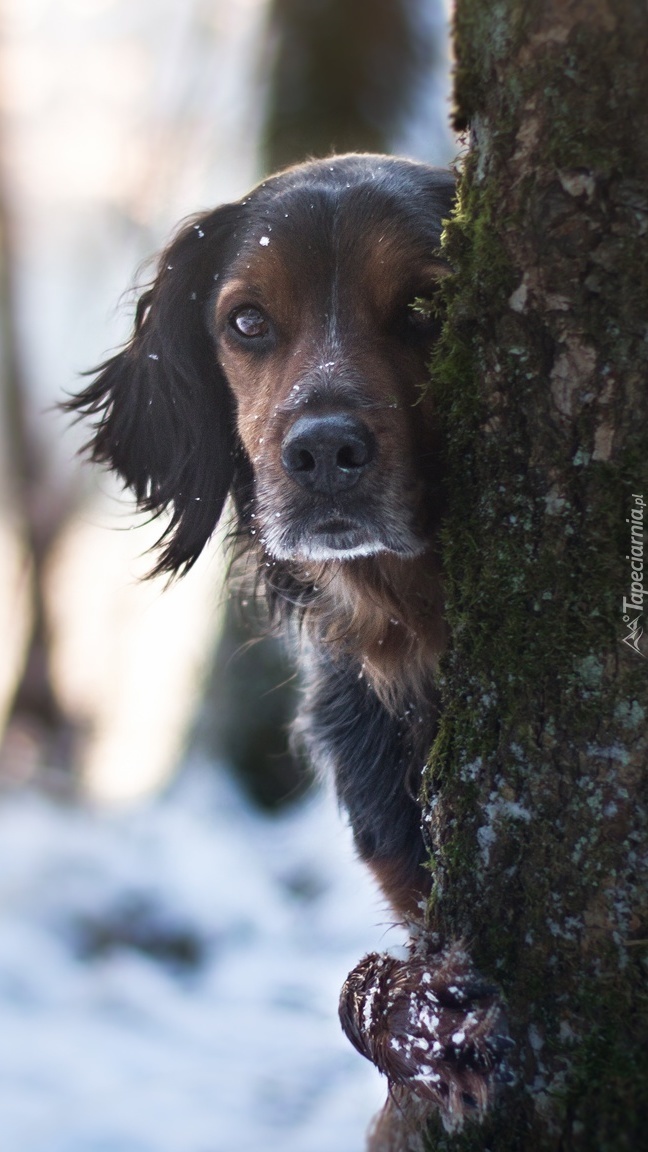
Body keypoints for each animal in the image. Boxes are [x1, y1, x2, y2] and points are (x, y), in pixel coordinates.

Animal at [65, 155, 509, 1133]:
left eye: (425, 306)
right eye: (248, 321)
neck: (408, 627)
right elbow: (358, 991)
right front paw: (420, 1019)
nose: (324, 454)